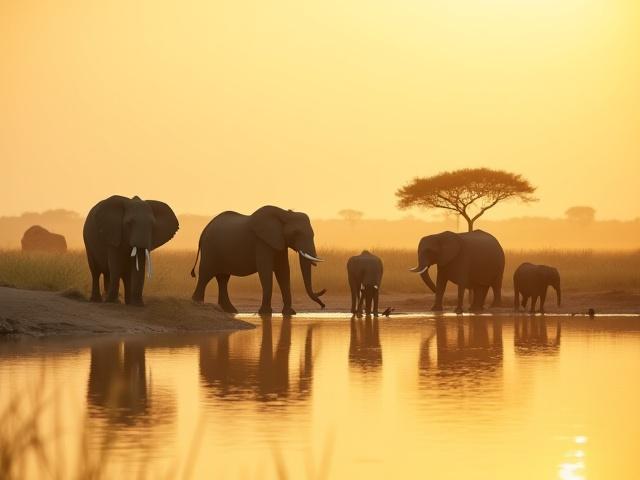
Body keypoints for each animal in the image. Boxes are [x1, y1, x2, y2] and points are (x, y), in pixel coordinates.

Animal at [190, 206, 326, 315]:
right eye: (296, 233)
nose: (323, 306)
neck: (284, 214)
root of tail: (204, 230)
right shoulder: (262, 242)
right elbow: (265, 270)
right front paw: (265, 313)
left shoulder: (279, 242)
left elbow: (283, 271)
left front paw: (289, 313)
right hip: (210, 250)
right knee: (205, 275)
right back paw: (198, 303)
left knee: (223, 279)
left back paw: (231, 311)